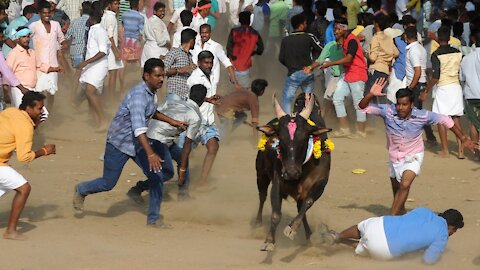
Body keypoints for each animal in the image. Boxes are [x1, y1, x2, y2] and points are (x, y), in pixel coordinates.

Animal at [256, 94, 332, 251]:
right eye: (280, 138)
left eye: (304, 138)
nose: (290, 173)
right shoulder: (277, 183)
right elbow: (276, 214)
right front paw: (269, 240)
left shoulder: (320, 182)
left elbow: (307, 204)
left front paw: (292, 228)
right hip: (261, 174)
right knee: (262, 196)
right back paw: (258, 224)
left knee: (300, 208)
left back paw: (308, 234)